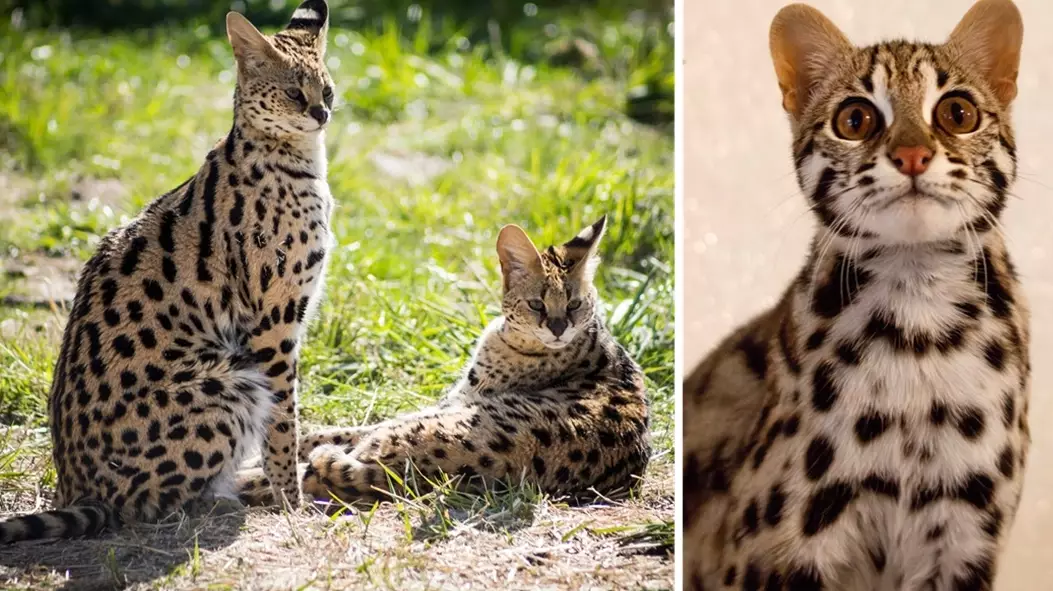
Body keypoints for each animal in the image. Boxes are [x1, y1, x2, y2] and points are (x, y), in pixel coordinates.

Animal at [0, 0, 335, 543]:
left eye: (326, 90)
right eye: (292, 93)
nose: (321, 114)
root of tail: (77, 490)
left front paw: (291, 491)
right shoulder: (274, 324)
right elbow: (284, 420)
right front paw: (292, 500)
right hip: (230, 382)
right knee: (150, 505)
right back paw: (241, 493)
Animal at [236, 216, 652, 505]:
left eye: (575, 304)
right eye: (537, 304)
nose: (559, 329)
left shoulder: (454, 402)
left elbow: (328, 440)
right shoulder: (448, 400)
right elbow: (336, 430)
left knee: (308, 475)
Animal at [682, 1, 1029, 589]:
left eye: (958, 113)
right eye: (855, 119)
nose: (912, 155)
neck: (920, 328)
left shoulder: (967, 539)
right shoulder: (778, 543)